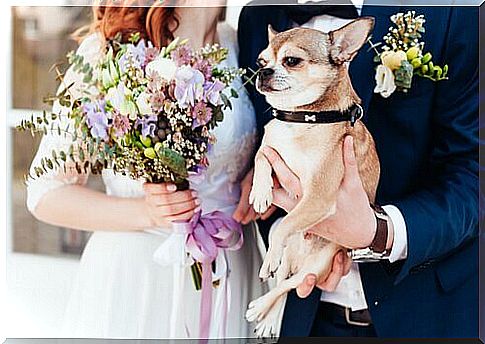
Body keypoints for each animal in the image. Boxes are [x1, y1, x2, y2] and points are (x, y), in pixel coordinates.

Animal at [248, 17, 380, 338]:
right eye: (261, 61)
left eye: (291, 61)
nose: (262, 71)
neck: (300, 119)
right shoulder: (272, 152)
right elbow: (261, 156)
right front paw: (260, 193)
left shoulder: (318, 198)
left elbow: (286, 226)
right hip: (291, 256)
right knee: (284, 281)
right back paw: (269, 317)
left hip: (313, 269)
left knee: (285, 285)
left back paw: (260, 306)